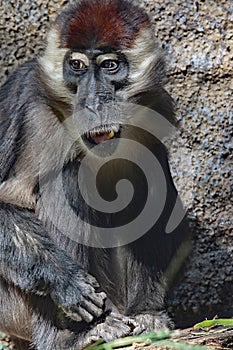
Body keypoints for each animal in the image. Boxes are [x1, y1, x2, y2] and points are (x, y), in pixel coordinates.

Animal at [0, 0, 190, 350]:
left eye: (109, 65)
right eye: (77, 65)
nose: (92, 101)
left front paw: (150, 312)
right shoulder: (29, 101)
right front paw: (66, 281)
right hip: (13, 307)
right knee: (68, 179)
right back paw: (75, 335)